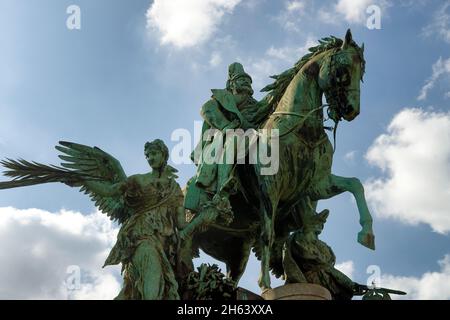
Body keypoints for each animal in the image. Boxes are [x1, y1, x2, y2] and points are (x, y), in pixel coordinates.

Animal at [255, 29, 374, 290]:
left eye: (362, 75)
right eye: (343, 70)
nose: (352, 110)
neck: (301, 129)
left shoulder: (316, 185)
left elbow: (355, 184)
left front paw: (367, 233)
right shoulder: (270, 187)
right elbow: (267, 232)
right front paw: (265, 283)